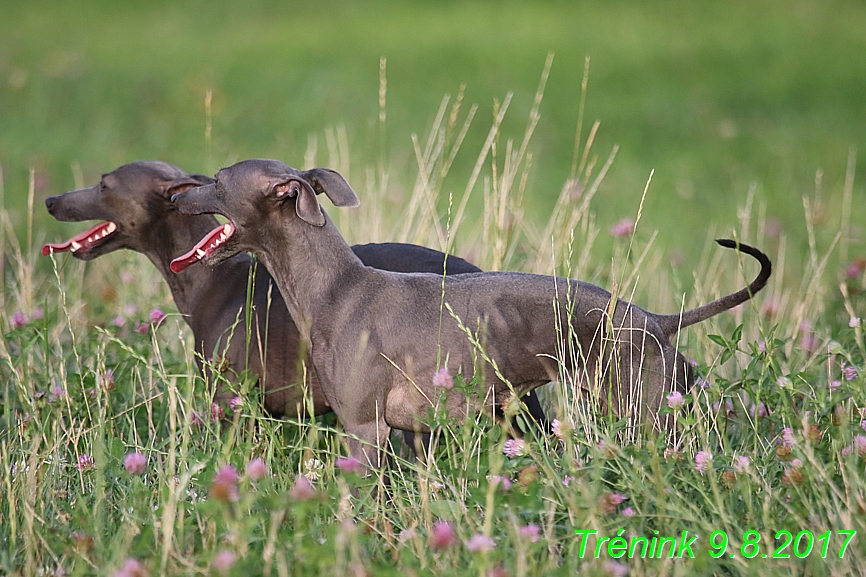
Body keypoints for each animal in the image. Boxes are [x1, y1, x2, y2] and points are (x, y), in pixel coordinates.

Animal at [169, 159, 768, 468]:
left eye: (217, 179)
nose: (175, 194)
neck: (335, 287)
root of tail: (655, 319)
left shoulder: (364, 429)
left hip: (646, 414)